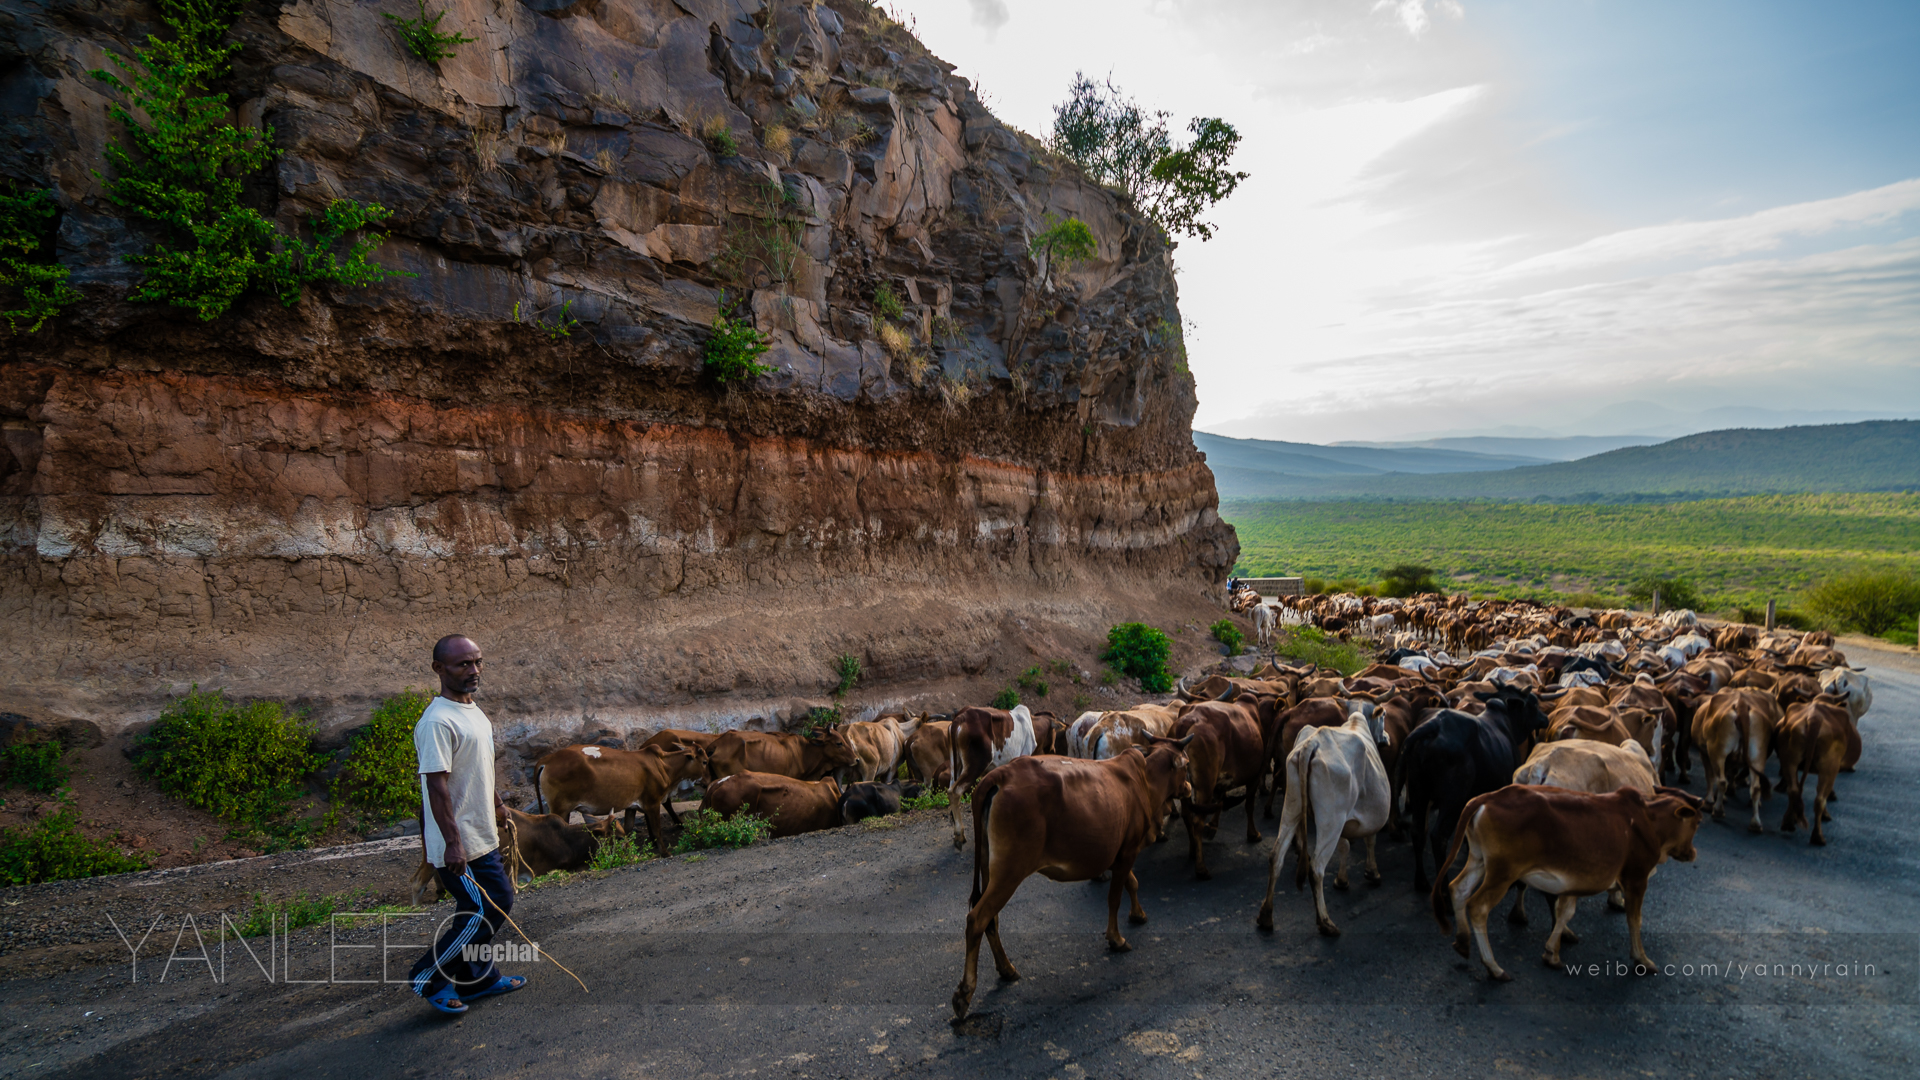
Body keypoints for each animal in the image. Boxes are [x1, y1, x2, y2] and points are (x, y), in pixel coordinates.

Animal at [533, 737, 706, 849]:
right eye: (704, 761)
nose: (706, 782)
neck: (663, 766)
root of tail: (547, 759)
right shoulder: (652, 803)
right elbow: (657, 831)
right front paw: (664, 853)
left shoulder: (632, 806)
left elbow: (628, 829)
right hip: (560, 809)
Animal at [944, 734, 1182, 1014]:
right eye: (1186, 765)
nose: (1190, 787)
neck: (1143, 780)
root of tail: (999, 775)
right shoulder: (1128, 850)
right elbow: (1115, 897)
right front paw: (1116, 939)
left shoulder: (1121, 851)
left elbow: (1132, 884)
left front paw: (1138, 914)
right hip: (1009, 871)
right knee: (977, 920)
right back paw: (965, 994)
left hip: (989, 866)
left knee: (991, 920)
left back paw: (1006, 969)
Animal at [1397, 684, 1543, 887]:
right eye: (1534, 703)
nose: (1545, 718)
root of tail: (1434, 725)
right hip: (1452, 799)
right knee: (1439, 836)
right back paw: (1443, 887)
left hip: (1418, 790)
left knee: (1418, 831)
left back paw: (1422, 882)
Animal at [1436, 776, 1704, 980]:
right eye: (1697, 822)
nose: (1693, 852)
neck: (1648, 820)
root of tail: (1489, 797)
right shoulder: (1636, 877)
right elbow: (1634, 920)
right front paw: (1642, 959)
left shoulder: (1576, 880)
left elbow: (1565, 912)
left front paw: (1552, 953)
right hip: (1503, 872)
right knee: (1478, 907)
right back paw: (1494, 967)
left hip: (1479, 859)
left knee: (1458, 888)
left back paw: (1462, 942)